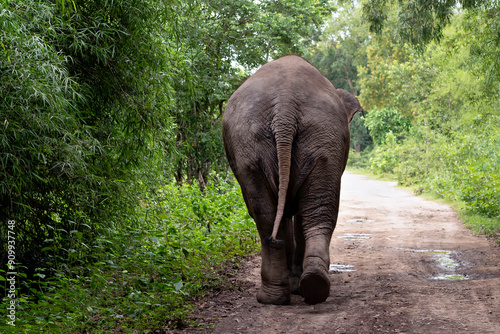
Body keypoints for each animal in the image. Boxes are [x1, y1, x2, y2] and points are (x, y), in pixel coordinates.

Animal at [222, 54, 360, 306]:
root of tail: (284, 106)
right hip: (312, 137)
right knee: (305, 212)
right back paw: (308, 287)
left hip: (290, 139)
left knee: (272, 216)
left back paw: (282, 293)